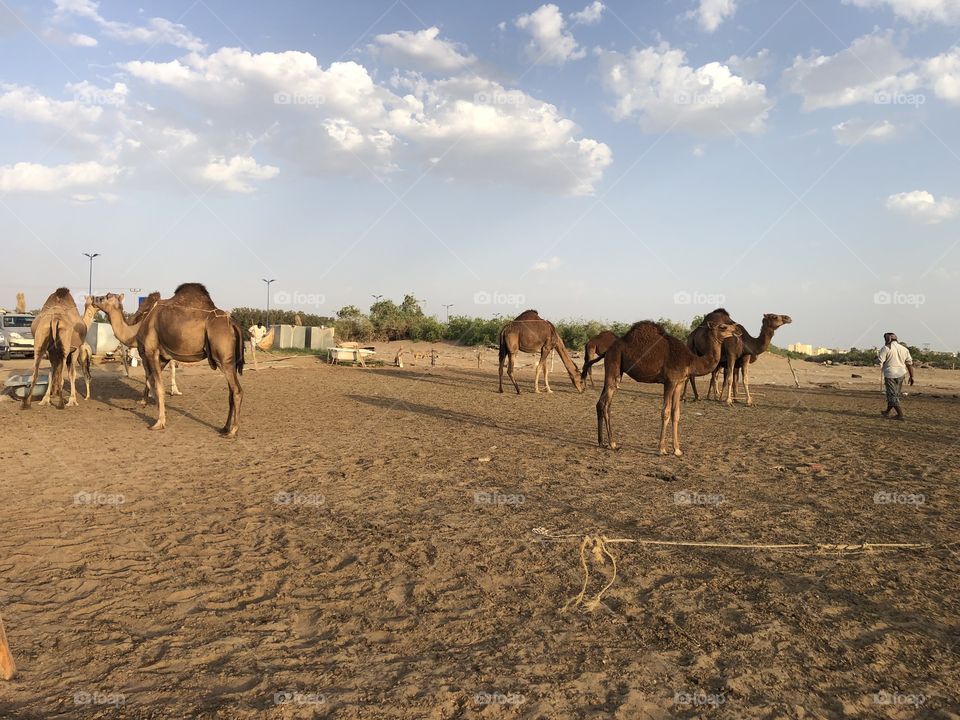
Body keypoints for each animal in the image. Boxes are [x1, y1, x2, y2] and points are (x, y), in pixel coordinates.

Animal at [95, 284, 244, 437]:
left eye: (106, 296)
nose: (94, 299)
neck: (136, 329)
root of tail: (233, 324)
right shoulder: (163, 357)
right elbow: (151, 381)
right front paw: (152, 406)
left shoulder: (151, 352)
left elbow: (157, 386)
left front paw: (158, 422)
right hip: (229, 361)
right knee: (231, 392)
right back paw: (225, 428)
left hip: (223, 359)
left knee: (237, 390)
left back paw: (233, 430)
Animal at [583, 320, 740, 455]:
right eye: (723, 327)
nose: (737, 330)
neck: (691, 361)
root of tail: (608, 351)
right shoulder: (670, 382)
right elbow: (665, 412)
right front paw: (662, 449)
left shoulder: (679, 383)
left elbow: (676, 414)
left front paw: (677, 450)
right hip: (614, 366)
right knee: (605, 404)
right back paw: (613, 443)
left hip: (613, 371)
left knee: (600, 403)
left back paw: (601, 442)